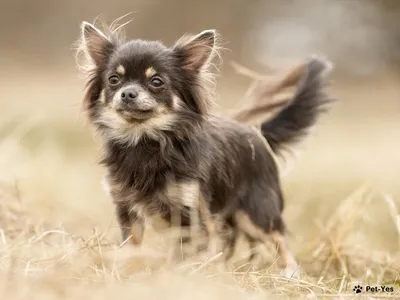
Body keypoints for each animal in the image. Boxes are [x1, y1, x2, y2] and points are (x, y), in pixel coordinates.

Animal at [75, 19, 334, 278]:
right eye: (113, 80)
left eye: (156, 82)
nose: (127, 93)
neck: (145, 141)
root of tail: (255, 132)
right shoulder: (128, 211)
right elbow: (132, 247)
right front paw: (128, 275)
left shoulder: (189, 214)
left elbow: (182, 254)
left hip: (257, 212)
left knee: (279, 239)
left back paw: (290, 273)